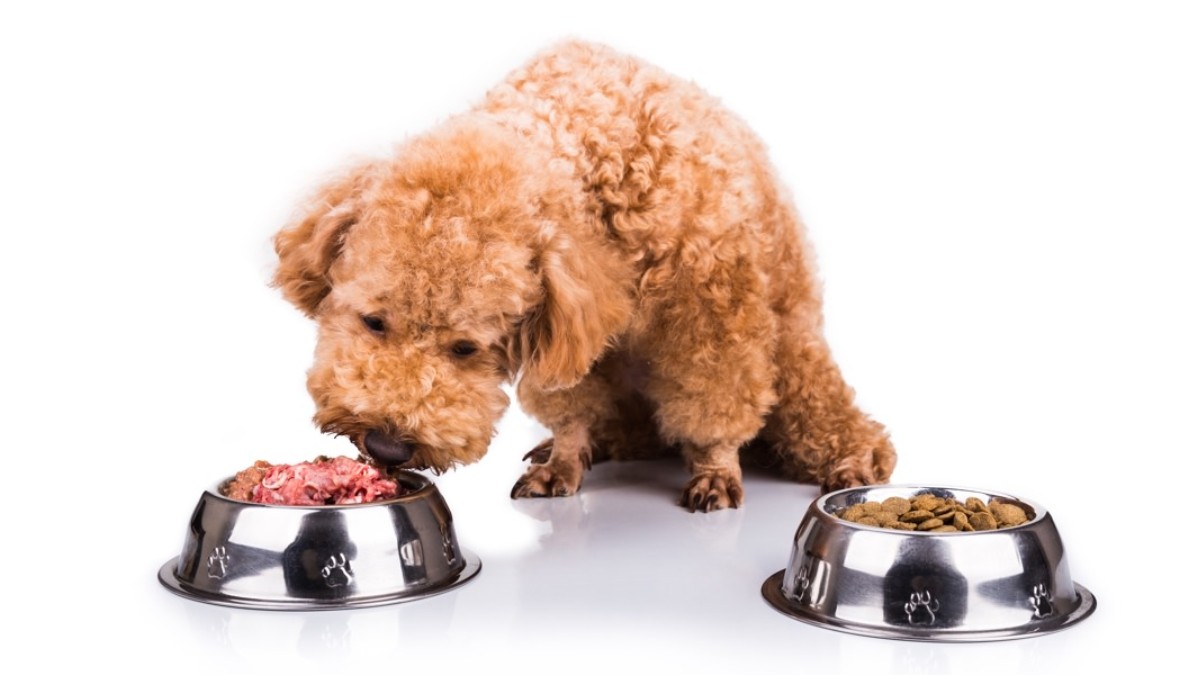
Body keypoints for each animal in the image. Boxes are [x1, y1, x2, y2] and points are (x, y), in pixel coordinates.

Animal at [272, 39, 892, 509]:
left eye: (465, 349)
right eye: (373, 322)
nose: (387, 446)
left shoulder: (710, 314)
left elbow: (715, 400)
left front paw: (716, 468)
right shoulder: (569, 328)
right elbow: (571, 404)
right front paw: (565, 459)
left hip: (794, 354)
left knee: (825, 416)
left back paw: (852, 458)